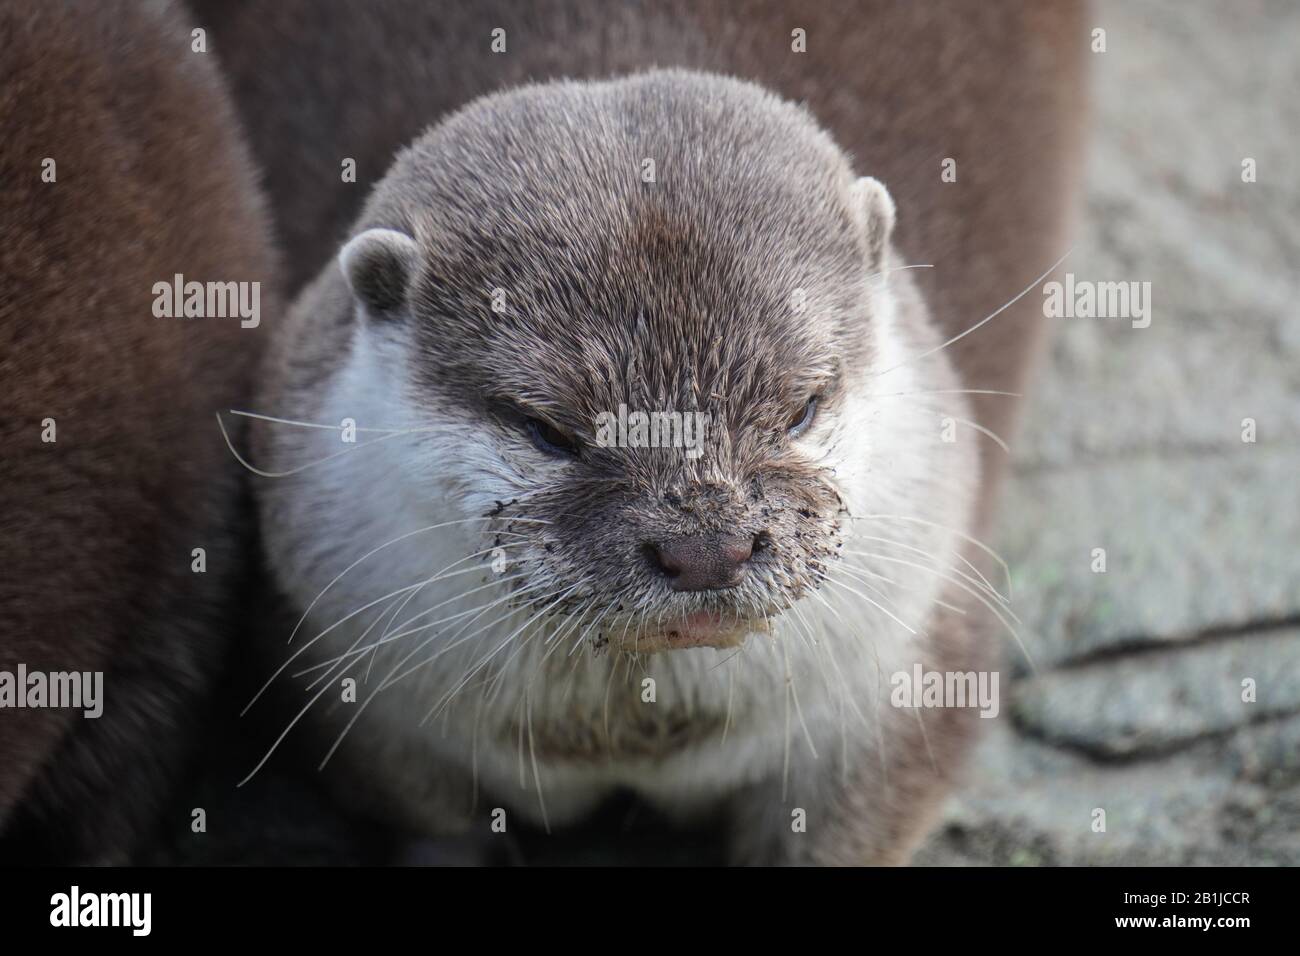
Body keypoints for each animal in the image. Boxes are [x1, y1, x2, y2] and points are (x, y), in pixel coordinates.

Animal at [244, 72, 993, 868]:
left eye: (802, 407)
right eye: (547, 429)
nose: (707, 549)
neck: (631, 738)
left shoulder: (900, 687)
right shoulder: (368, 705)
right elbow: (432, 820)